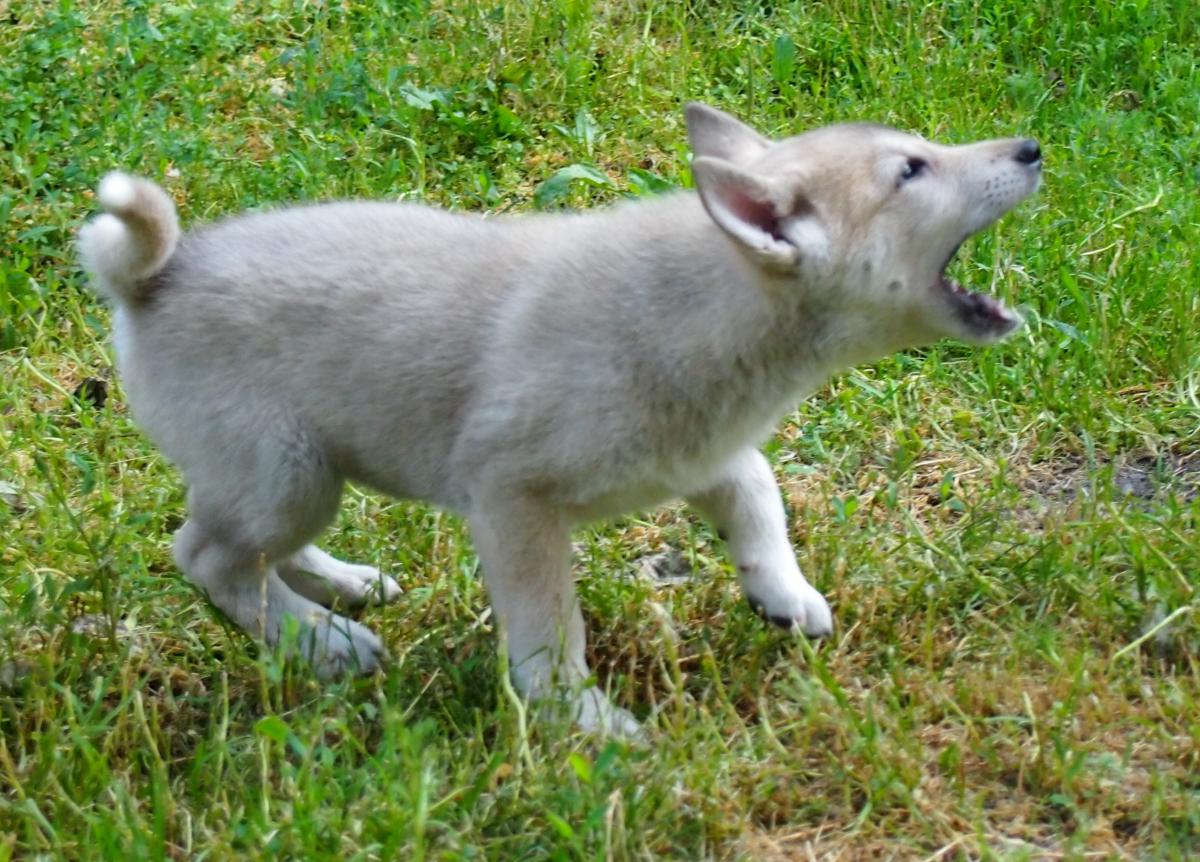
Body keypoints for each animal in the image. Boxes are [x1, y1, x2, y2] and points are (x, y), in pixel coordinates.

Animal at [78, 103, 1041, 735]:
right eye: (911, 171)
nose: (1033, 146)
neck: (706, 304)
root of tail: (154, 276)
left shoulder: (707, 453)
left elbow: (760, 499)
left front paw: (784, 594)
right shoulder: (515, 502)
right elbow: (550, 631)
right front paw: (582, 721)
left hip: (304, 476)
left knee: (250, 551)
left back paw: (345, 588)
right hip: (286, 472)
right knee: (208, 557)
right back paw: (326, 644)